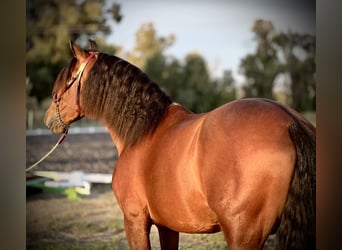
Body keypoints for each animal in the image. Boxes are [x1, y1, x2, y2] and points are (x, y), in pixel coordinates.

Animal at [44, 40, 316, 249]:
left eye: (66, 81)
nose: (48, 120)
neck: (143, 131)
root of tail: (290, 122)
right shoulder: (167, 225)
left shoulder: (134, 220)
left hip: (243, 236)